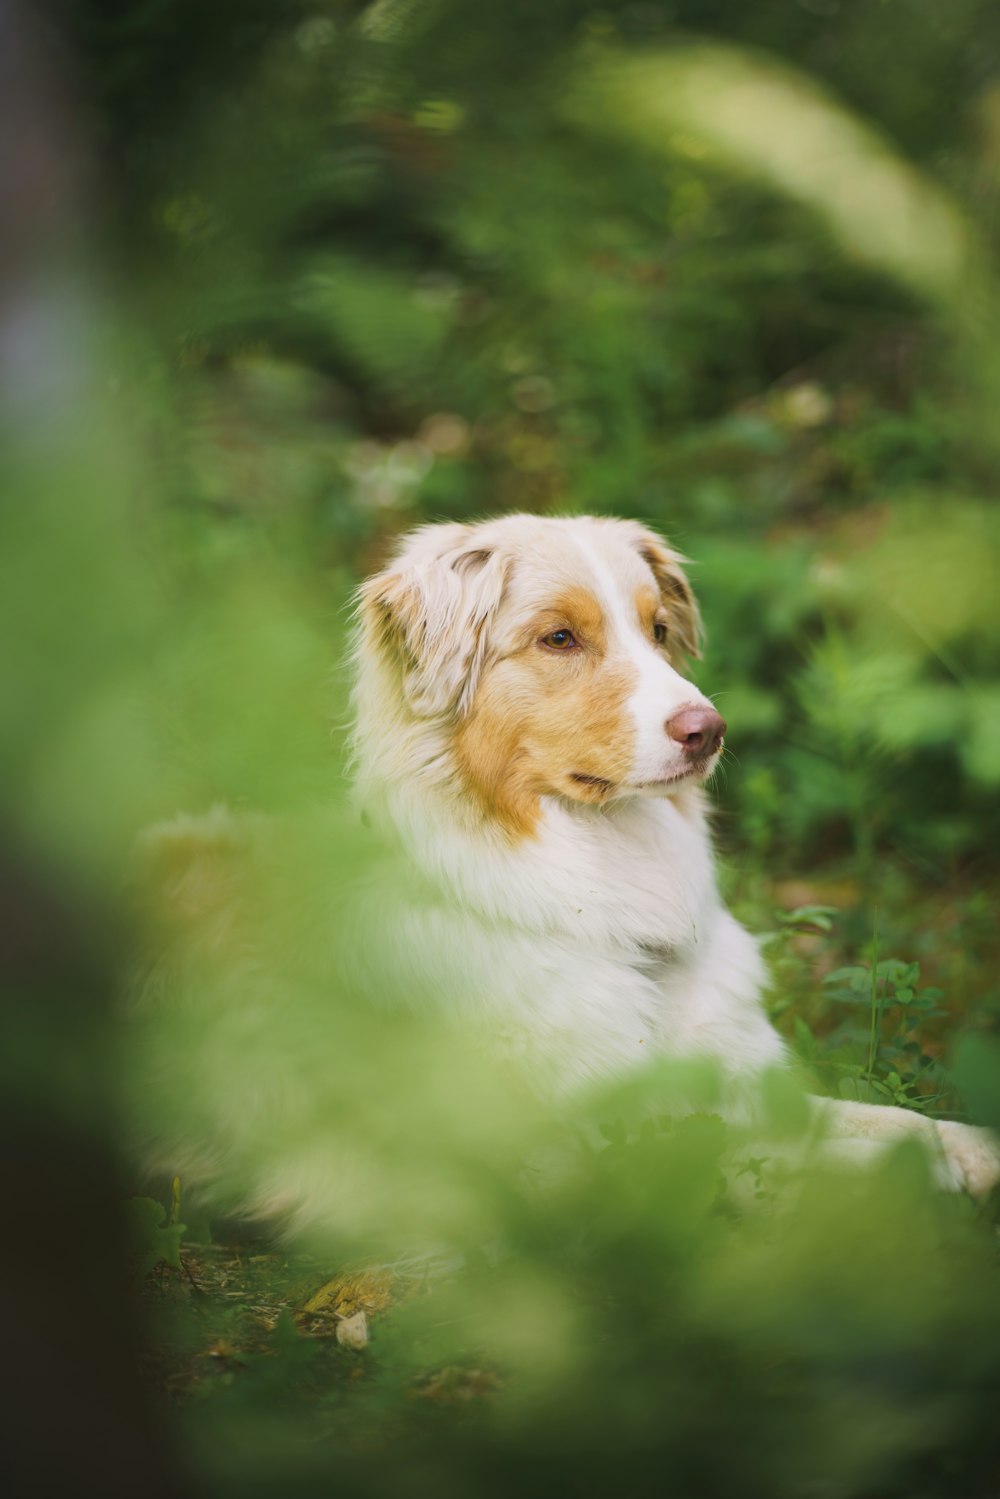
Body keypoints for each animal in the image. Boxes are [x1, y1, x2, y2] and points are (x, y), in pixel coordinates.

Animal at [352, 512, 1000, 1193]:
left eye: (658, 631)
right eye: (559, 639)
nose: (708, 732)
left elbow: (882, 1120)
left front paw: (967, 1147)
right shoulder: (594, 1156)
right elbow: (794, 1162)